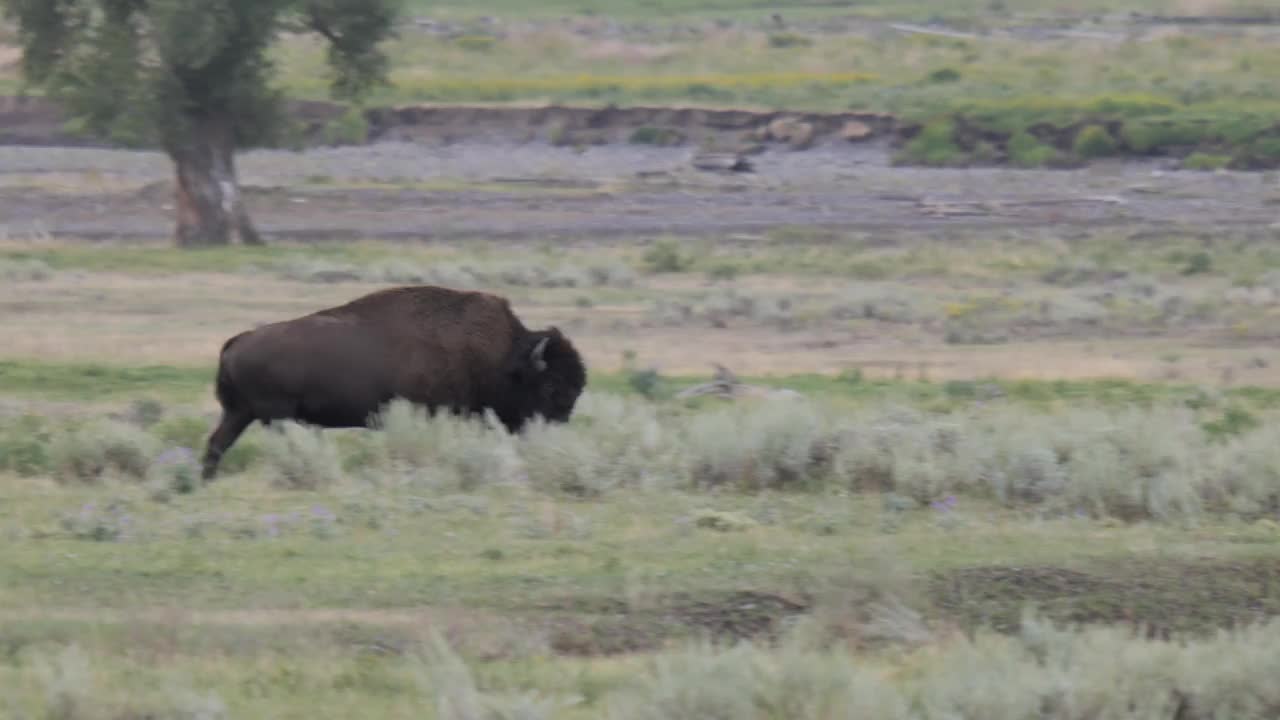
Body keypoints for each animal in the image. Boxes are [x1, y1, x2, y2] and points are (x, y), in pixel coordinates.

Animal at [200, 283, 588, 479]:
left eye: (576, 389)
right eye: (551, 387)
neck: (501, 355)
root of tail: (238, 341)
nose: (555, 433)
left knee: (217, 443)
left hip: (240, 413)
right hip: (273, 416)